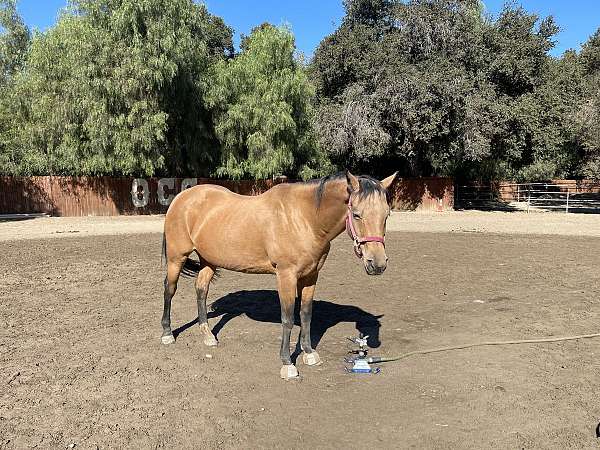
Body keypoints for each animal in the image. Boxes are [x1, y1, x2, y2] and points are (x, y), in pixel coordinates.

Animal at [162, 171, 396, 378]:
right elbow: (288, 318)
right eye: (356, 214)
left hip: (209, 260)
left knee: (201, 290)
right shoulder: (286, 276)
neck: (305, 219)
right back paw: (167, 334)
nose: (377, 264)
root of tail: (183, 197)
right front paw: (287, 364)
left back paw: (208, 336)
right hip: (176, 258)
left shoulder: (311, 276)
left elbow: (306, 314)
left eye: (386, 215)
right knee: (169, 290)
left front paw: (309, 354)